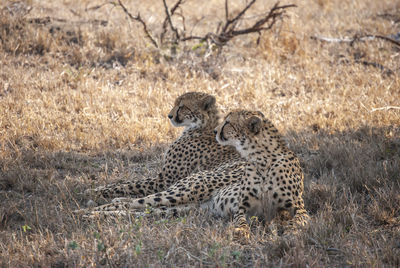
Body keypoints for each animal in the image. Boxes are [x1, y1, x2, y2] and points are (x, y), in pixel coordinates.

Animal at [85, 110, 310, 236]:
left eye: (228, 122)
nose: (216, 131)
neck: (263, 159)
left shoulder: (298, 208)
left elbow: (300, 220)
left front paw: (292, 232)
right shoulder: (242, 208)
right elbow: (241, 222)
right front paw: (240, 234)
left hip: (182, 208)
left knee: (139, 211)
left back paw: (96, 212)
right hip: (185, 191)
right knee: (135, 202)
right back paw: (88, 210)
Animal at [87, 92, 241, 199]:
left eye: (182, 106)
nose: (169, 116)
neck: (202, 128)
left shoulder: (164, 180)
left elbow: (132, 185)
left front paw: (96, 192)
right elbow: (127, 182)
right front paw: (98, 187)